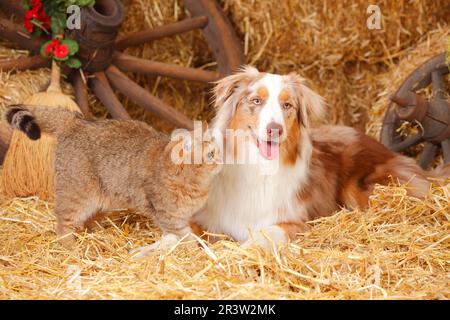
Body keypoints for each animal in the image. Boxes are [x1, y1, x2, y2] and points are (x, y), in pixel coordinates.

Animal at [3, 104, 221, 249]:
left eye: (217, 150)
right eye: (211, 154)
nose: (221, 159)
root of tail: (76, 121)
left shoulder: (184, 217)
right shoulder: (170, 218)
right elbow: (187, 238)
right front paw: (196, 252)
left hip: (101, 200)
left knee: (88, 221)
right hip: (78, 196)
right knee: (63, 222)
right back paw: (69, 247)